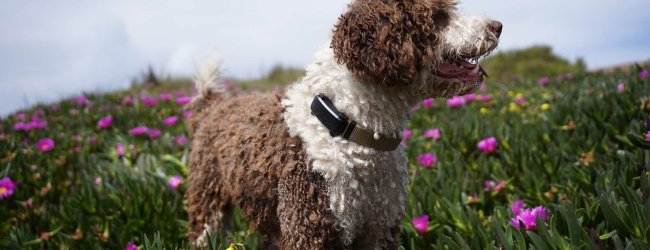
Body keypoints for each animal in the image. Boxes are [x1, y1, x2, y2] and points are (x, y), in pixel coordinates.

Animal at [185, 0, 498, 248]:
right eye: (439, 16)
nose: (498, 25)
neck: (351, 129)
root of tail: (212, 106)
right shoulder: (309, 228)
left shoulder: (380, 229)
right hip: (207, 204)